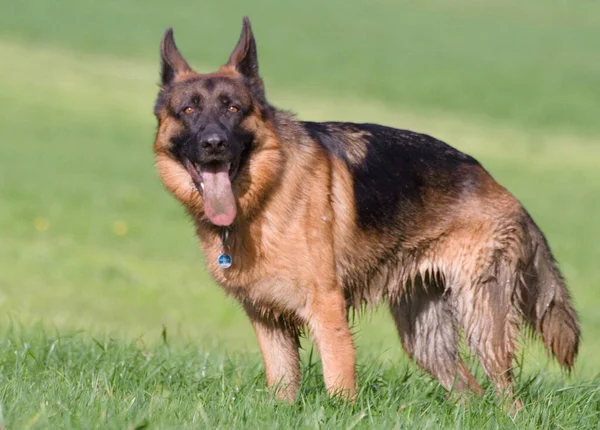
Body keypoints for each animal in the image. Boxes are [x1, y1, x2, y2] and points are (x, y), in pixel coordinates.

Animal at [152, 16, 580, 406]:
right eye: (188, 110)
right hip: (425, 337)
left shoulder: (327, 311)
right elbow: (282, 388)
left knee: (508, 397)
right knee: (470, 393)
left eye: (233, 108)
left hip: (482, 320)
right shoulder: (269, 320)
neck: (266, 193)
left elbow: (339, 385)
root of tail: (500, 188)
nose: (214, 144)